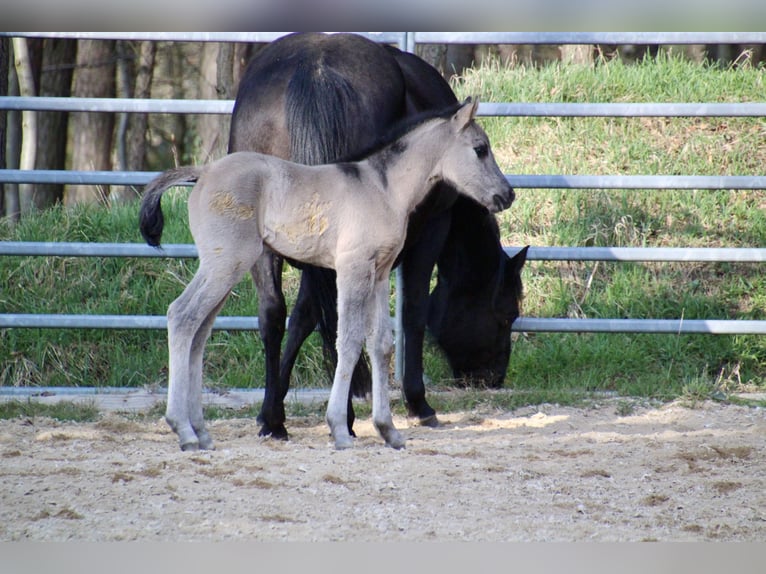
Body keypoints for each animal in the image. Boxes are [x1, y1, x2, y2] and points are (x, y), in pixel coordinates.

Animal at [139, 98, 514, 450]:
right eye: (480, 149)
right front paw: (339, 429)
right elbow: (348, 340)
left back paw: (201, 432)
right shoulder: (352, 269)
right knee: (182, 316)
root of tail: (203, 172)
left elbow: (381, 344)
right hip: (226, 263)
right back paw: (184, 430)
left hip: (223, 267)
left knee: (199, 330)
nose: (507, 195)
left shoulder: (379, 274)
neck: (383, 189)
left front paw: (388, 430)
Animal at [227, 32, 527, 439]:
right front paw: (418, 403)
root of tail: (314, 68)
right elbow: (413, 312)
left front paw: (271, 409)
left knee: (273, 314)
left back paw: (277, 420)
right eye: (508, 313)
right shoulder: (429, 233)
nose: (492, 377)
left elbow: (303, 317)